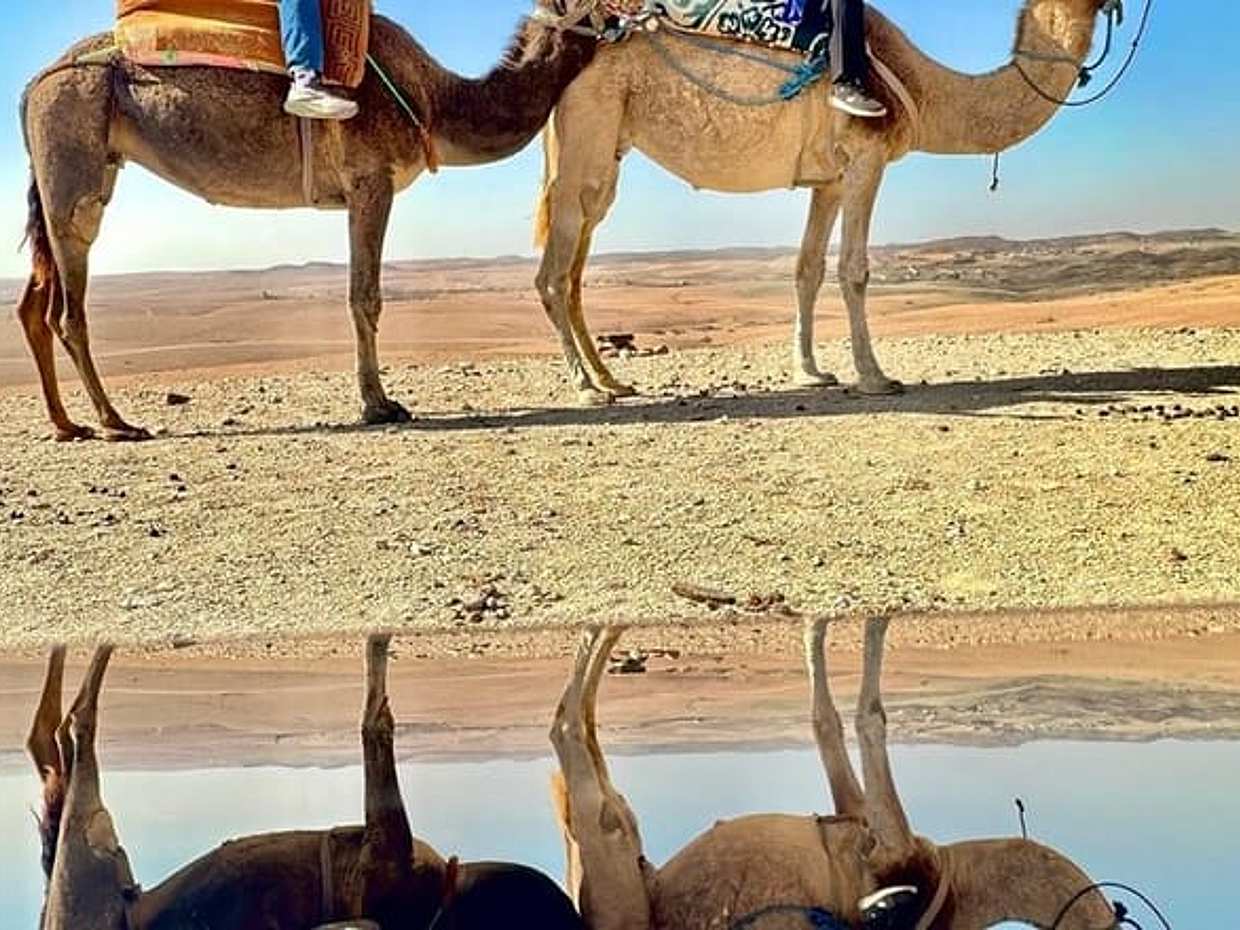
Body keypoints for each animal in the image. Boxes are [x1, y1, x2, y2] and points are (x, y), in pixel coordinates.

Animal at [17, 3, 596, 441]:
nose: (630, 13)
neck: (433, 99)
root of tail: (32, 86)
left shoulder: (363, 188)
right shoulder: (371, 180)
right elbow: (365, 296)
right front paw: (378, 405)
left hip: (81, 168)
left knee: (35, 302)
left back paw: (67, 424)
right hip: (71, 144)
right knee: (68, 301)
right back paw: (115, 422)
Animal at [27, 636, 586, 930]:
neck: (439, 898)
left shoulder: (386, 858)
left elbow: (375, 720)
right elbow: (376, 718)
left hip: (86, 868)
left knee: (72, 732)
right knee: (55, 739)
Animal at [534, 0, 1119, 403]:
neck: (924, 89)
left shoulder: (829, 180)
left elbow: (807, 269)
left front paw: (811, 372)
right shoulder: (866, 157)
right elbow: (854, 269)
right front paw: (875, 376)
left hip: (601, 151)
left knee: (577, 257)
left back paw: (610, 379)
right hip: (588, 132)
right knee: (555, 271)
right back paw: (586, 388)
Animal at [549, 619, 1121, 930]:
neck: (954, 877)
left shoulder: (884, 846)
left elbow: (864, 716)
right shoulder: (870, 831)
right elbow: (832, 720)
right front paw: (828, 620)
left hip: (617, 870)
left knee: (575, 750)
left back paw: (605, 628)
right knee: (578, 741)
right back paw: (609, 629)